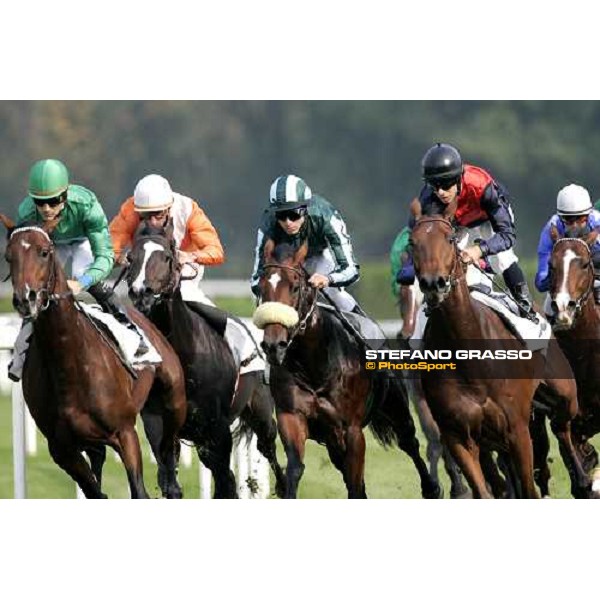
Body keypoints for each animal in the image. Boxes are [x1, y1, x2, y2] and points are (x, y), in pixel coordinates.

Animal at [2, 218, 186, 500]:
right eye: (8, 257)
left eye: (44, 252)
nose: (26, 299)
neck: (69, 364)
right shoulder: (63, 450)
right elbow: (95, 492)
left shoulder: (125, 434)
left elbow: (138, 491)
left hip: (173, 399)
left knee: (168, 446)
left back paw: (170, 481)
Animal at [125, 219, 286, 496]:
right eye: (130, 257)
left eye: (167, 257)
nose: (140, 292)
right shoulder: (159, 424)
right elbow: (170, 482)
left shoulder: (217, 428)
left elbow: (224, 483)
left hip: (261, 415)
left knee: (269, 454)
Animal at [251, 238, 438, 496]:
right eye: (261, 288)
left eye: (295, 287)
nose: (273, 344)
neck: (316, 367)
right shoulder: (292, 416)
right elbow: (296, 469)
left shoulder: (352, 429)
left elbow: (355, 483)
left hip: (396, 407)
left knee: (409, 442)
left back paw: (432, 488)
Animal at [410, 213, 588, 500]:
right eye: (413, 242)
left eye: (449, 239)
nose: (433, 283)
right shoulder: (458, 436)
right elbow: (484, 490)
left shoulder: (516, 429)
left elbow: (529, 489)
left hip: (564, 391)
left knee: (562, 426)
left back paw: (583, 482)